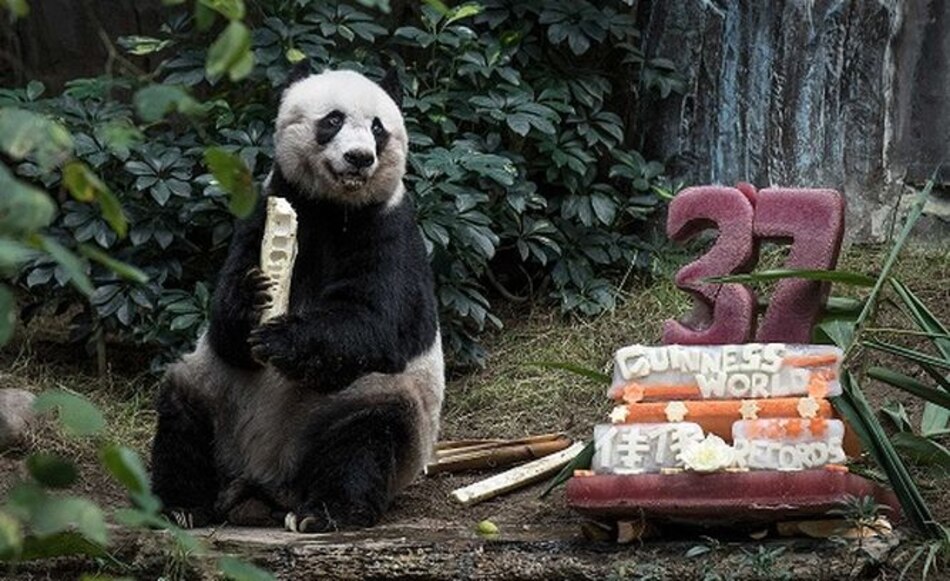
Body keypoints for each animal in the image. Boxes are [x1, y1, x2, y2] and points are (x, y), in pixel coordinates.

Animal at [149, 63, 445, 533]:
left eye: (378, 128)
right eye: (333, 120)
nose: (359, 158)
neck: (331, 208)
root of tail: (265, 482)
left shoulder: (388, 228)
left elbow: (373, 321)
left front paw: (280, 339)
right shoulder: (264, 209)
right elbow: (225, 330)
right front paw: (254, 299)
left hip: (356, 404)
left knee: (367, 432)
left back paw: (326, 512)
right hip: (217, 395)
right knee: (184, 413)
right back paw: (181, 505)